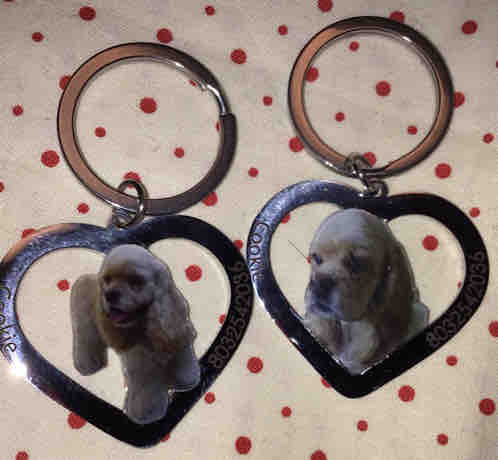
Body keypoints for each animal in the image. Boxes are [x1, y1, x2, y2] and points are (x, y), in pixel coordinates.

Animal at [70, 244, 200, 424]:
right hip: (85, 325)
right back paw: (88, 366)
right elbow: (147, 391)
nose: (109, 294)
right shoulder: (142, 366)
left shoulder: (178, 340)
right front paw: (146, 415)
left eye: (136, 281)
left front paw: (185, 381)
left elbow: (185, 367)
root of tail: (85, 278)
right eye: (108, 279)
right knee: (85, 341)